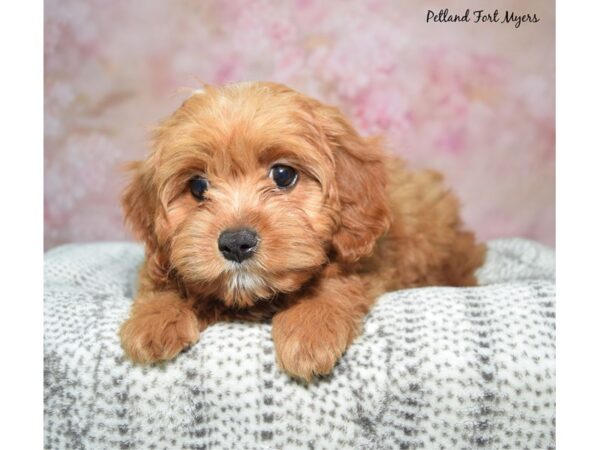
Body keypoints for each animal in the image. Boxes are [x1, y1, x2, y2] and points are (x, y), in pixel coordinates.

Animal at [119, 81, 486, 380]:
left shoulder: (368, 259)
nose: (236, 243)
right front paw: (154, 319)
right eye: (197, 186)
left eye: (283, 175)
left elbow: (337, 285)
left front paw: (309, 329)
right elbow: (161, 283)